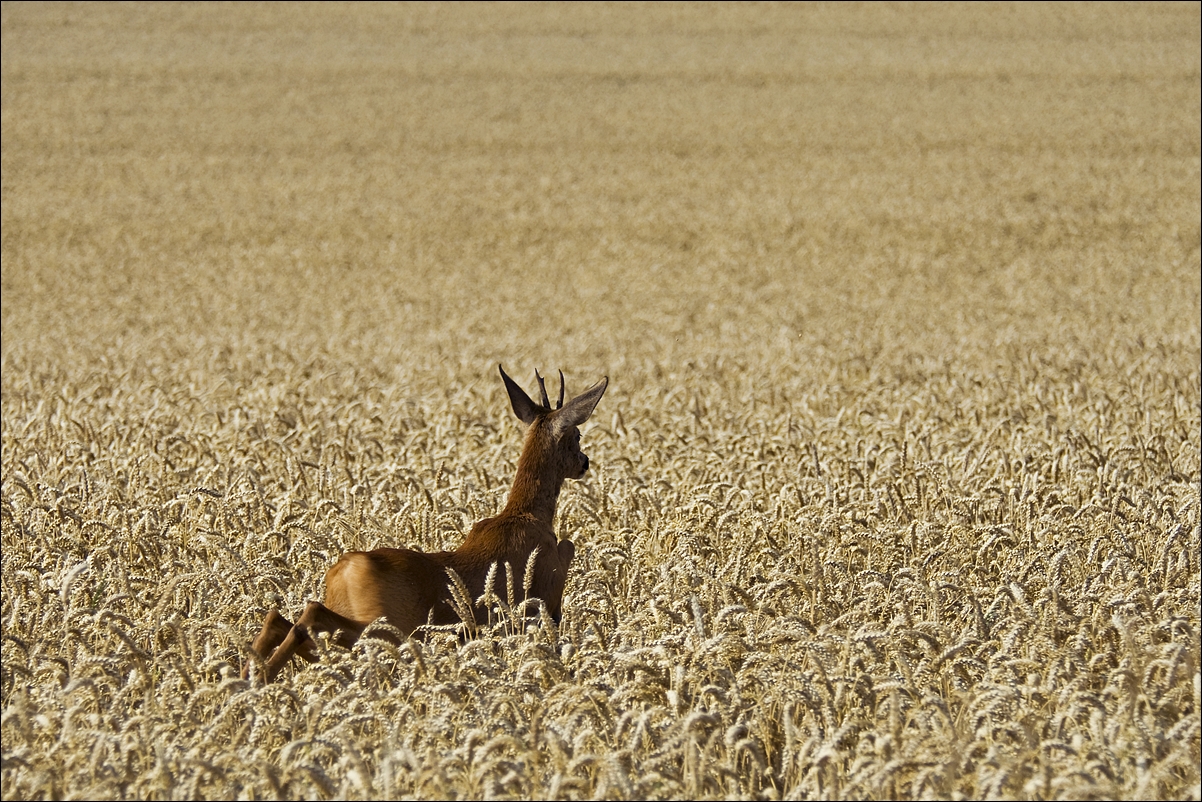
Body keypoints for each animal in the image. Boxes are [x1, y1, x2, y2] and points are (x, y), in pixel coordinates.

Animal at [244, 367, 605, 682]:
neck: (525, 513)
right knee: (308, 618)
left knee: (284, 619)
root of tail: (341, 572)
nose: (585, 462)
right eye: (577, 435)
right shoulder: (548, 599)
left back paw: (250, 677)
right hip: (388, 628)